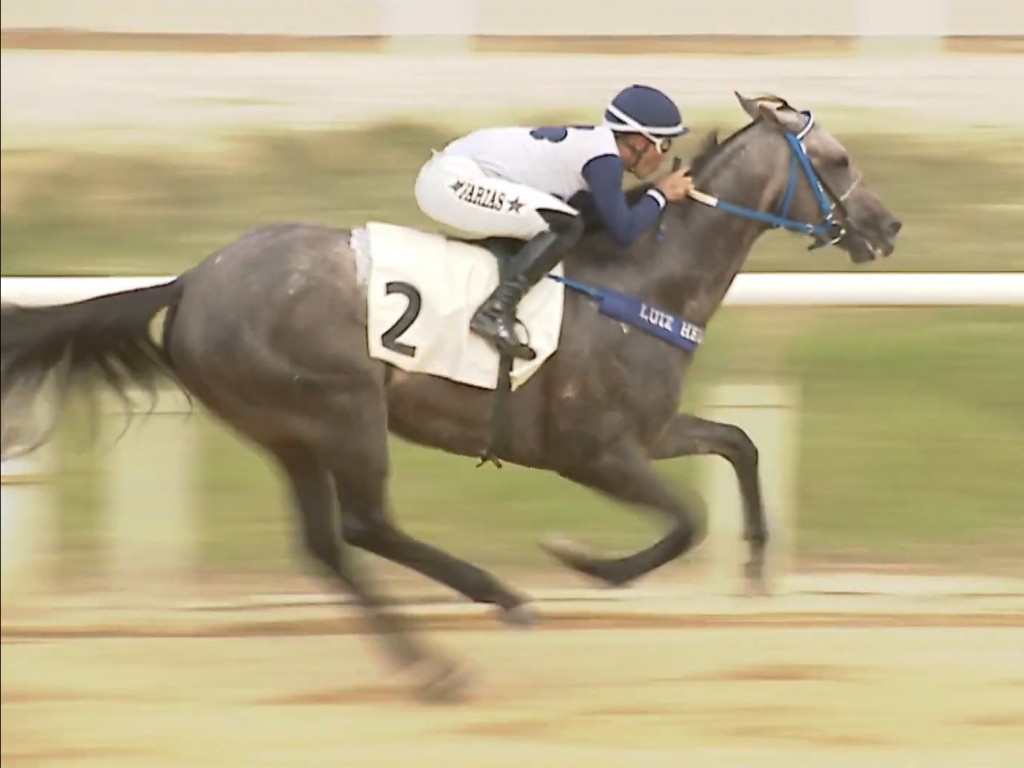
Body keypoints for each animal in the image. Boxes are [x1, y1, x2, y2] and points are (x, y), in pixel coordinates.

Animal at [4, 93, 905, 700]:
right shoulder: (593, 451)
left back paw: (436, 665)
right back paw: (497, 601)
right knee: (367, 526)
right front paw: (585, 563)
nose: (888, 226)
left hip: (287, 431)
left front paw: (755, 565)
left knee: (327, 545)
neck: (645, 274)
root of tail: (192, 282)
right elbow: (686, 520)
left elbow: (739, 446)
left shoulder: (648, 432)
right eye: (834, 160)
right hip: (343, 412)